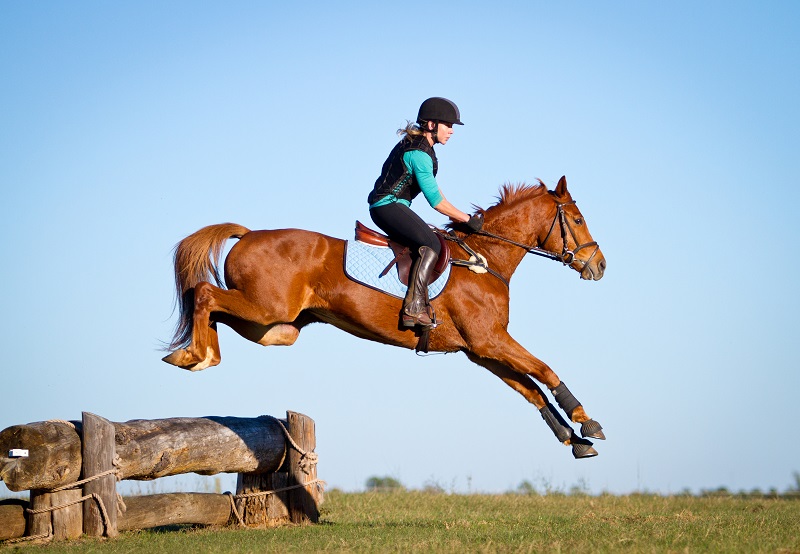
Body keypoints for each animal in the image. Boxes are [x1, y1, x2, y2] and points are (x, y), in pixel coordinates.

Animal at [162, 176, 607, 458]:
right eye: (578, 220)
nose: (600, 265)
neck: (485, 262)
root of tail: (250, 233)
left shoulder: (481, 351)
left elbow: (531, 389)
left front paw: (575, 439)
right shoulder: (489, 341)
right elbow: (544, 370)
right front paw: (586, 422)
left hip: (273, 327)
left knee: (215, 306)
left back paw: (196, 352)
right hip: (267, 309)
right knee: (204, 294)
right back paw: (194, 355)